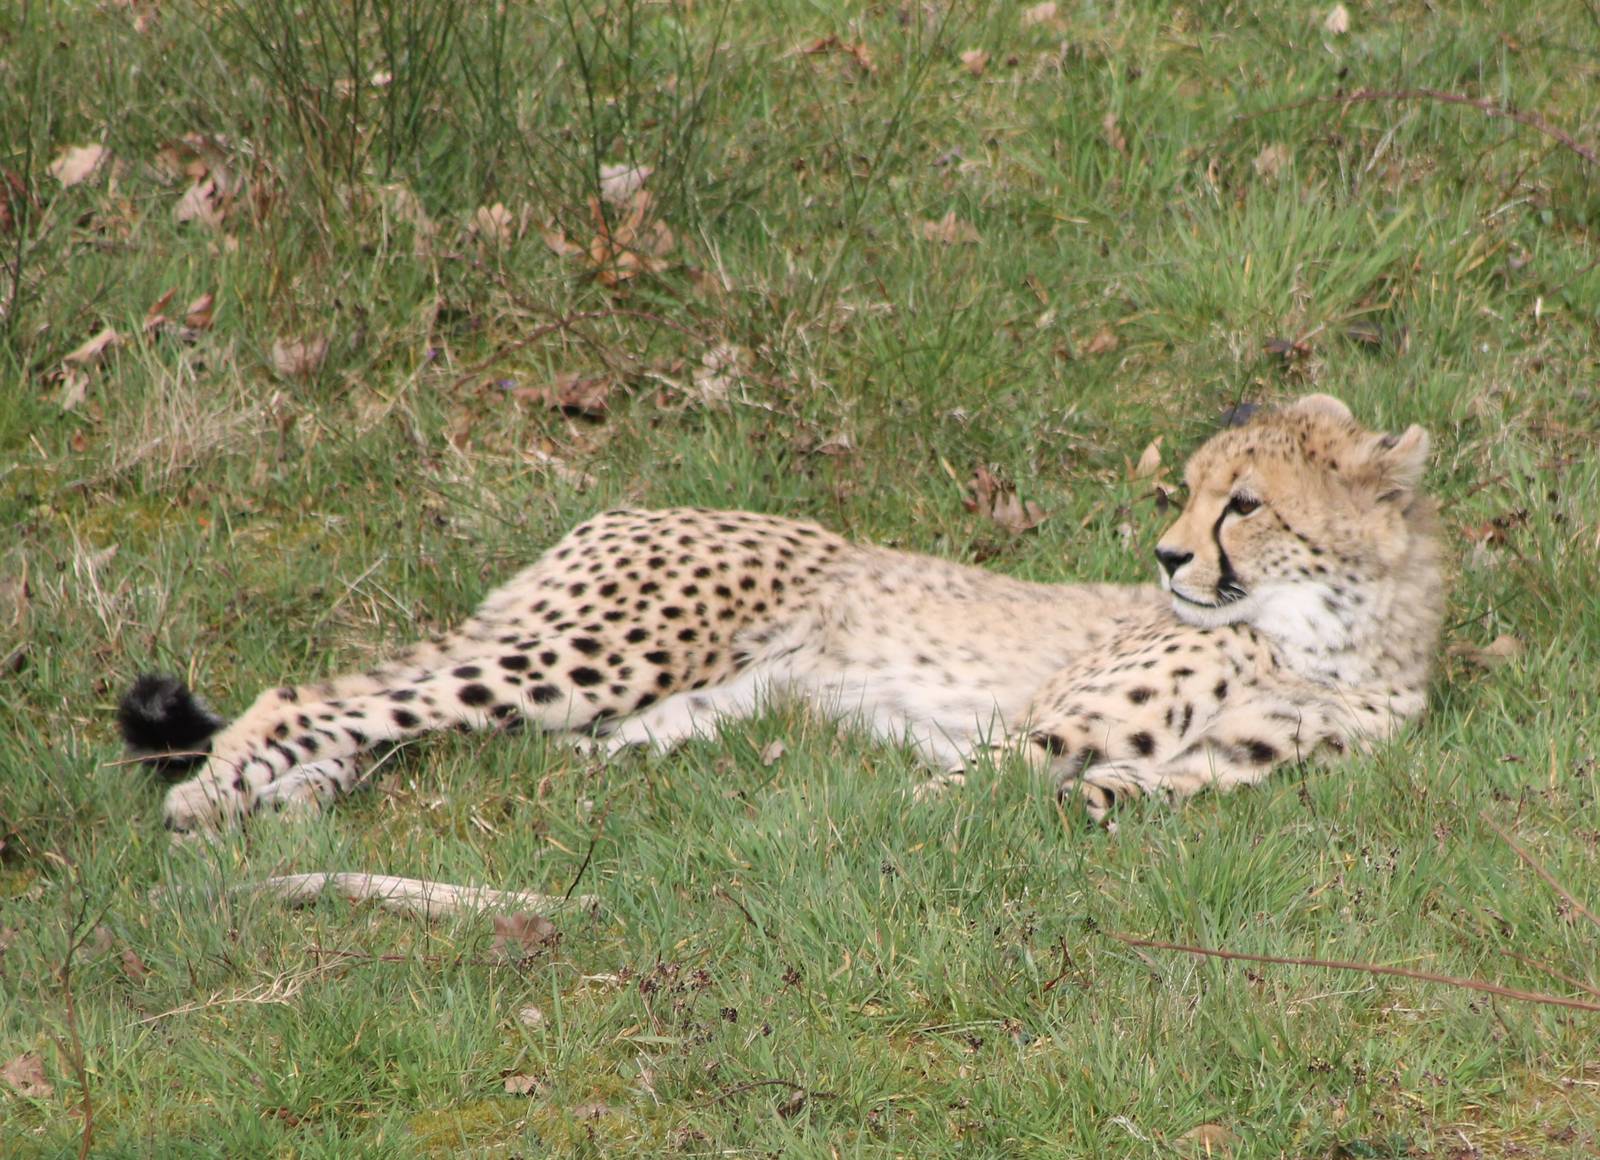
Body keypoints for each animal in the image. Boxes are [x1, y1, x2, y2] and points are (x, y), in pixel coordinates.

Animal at [119, 393, 1443, 834]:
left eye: (1244, 503)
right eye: (1190, 492)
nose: (1167, 556)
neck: (1326, 634)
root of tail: (621, 506)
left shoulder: (1259, 758)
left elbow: (1164, 783)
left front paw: (1110, 801)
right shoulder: (1048, 720)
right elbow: (987, 781)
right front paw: (908, 828)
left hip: (626, 715)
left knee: (403, 727)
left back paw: (291, 794)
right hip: (598, 653)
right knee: (318, 691)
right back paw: (215, 793)